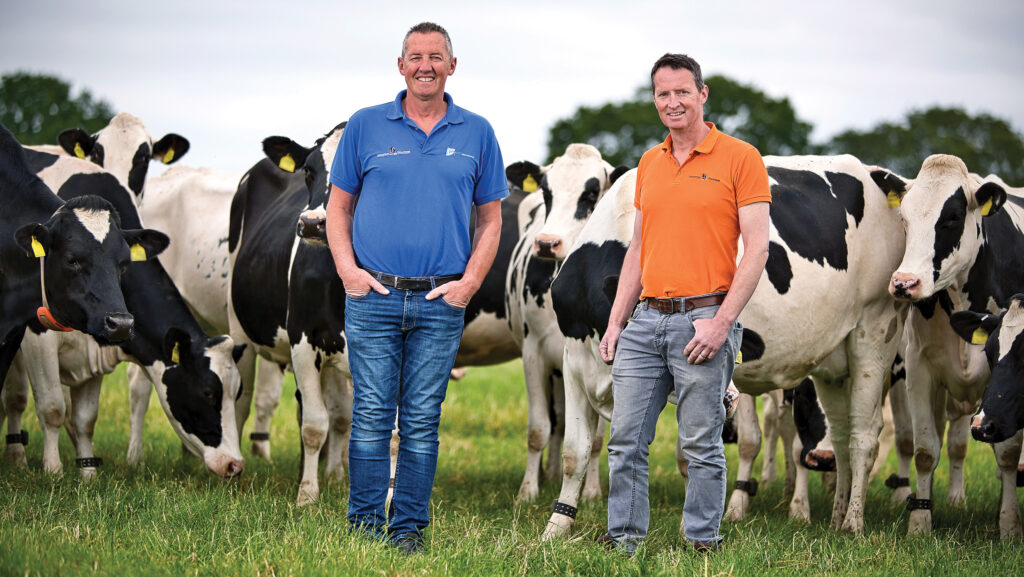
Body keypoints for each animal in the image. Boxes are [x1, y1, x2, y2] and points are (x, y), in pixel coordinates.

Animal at [2, 150, 243, 479]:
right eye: (207, 392)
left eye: (125, 264)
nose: (235, 464)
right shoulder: (36, 337)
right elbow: (52, 408)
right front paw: (53, 472)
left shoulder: (100, 339)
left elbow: (85, 418)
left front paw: (88, 474)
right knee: (15, 399)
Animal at [548, 155, 909, 541]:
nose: (728, 398)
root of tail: (873, 172)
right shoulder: (574, 362)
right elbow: (573, 454)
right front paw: (556, 526)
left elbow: (688, 457)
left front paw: (690, 525)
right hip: (832, 363)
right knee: (840, 437)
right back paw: (838, 515)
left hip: (876, 331)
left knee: (864, 437)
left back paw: (853, 523)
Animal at [880, 155, 1024, 541]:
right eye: (905, 219)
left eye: (953, 217)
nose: (904, 283)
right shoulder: (919, 370)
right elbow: (925, 450)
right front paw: (919, 521)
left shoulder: (1002, 383)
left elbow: (1007, 453)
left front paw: (1009, 524)